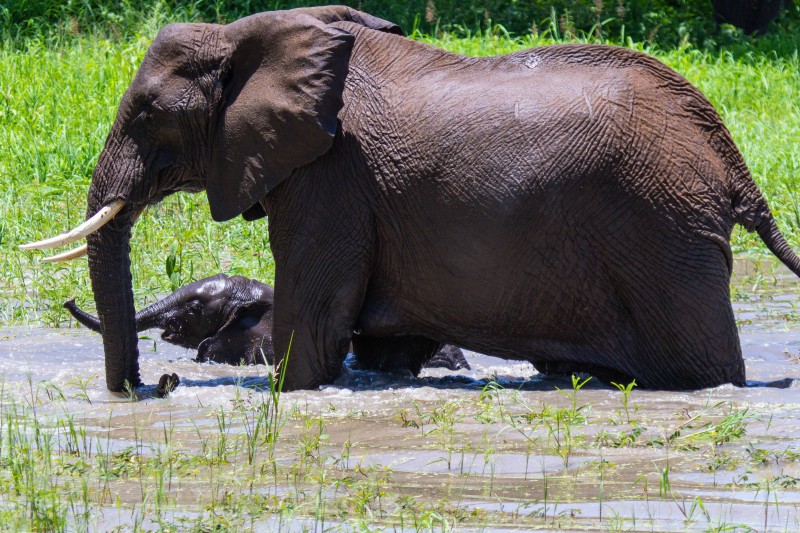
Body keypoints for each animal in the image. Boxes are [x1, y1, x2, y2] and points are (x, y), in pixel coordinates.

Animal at [21, 6, 800, 390]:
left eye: (148, 111)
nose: (159, 385)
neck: (251, 35)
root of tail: (727, 154)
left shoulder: (332, 178)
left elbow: (314, 329)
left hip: (662, 234)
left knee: (705, 366)